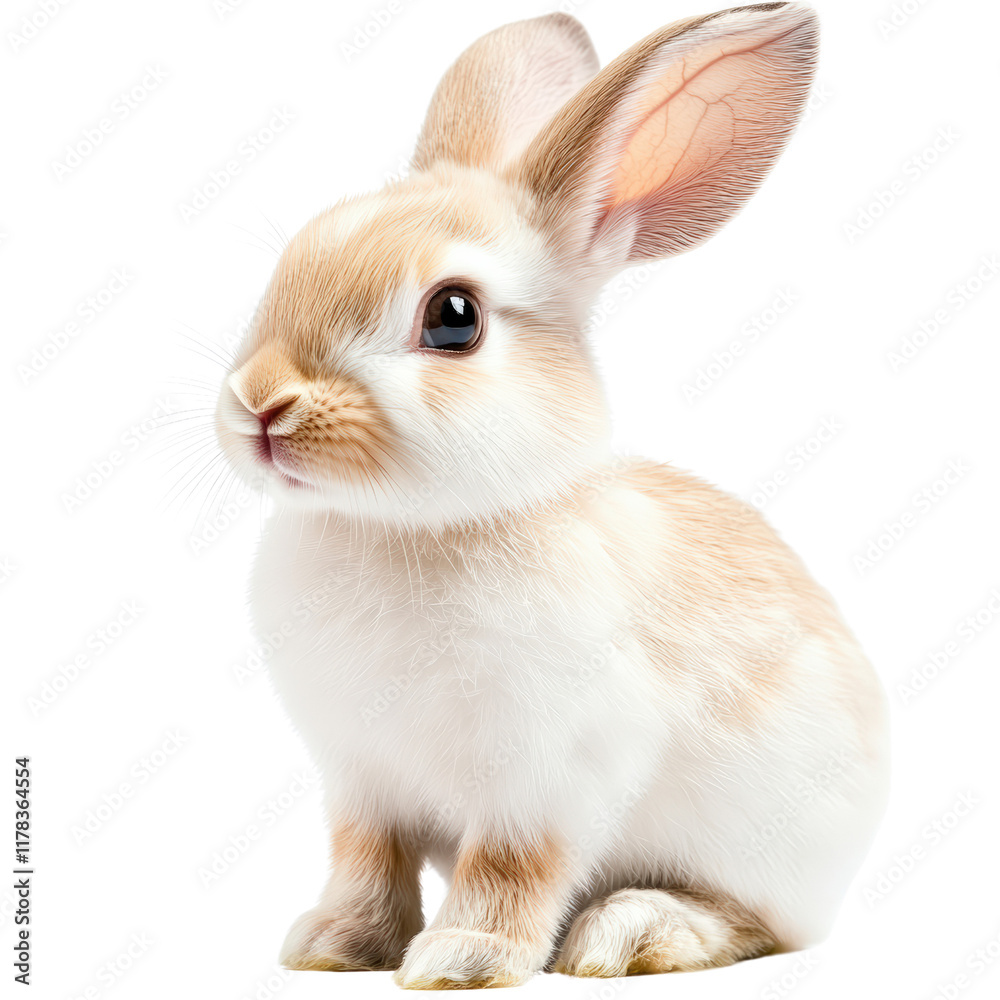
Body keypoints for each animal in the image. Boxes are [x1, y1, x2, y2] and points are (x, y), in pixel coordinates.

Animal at [214, 2, 888, 989]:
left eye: (454, 317)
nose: (261, 403)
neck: (408, 527)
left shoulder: (548, 778)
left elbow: (511, 870)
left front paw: (460, 960)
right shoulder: (361, 782)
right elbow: (365, 862)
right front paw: (331, 946)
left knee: (756, 923)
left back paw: (636, 933)